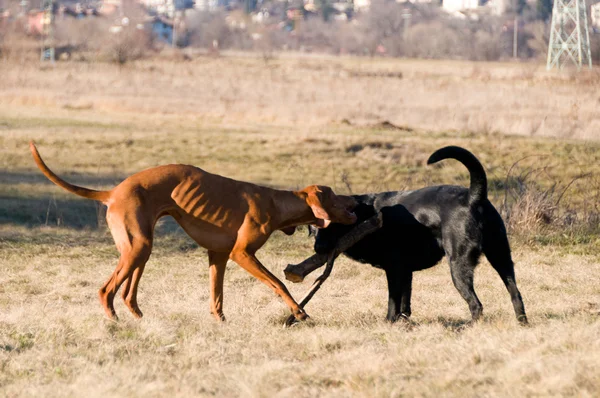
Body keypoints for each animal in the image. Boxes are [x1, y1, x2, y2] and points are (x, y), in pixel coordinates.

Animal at [30, 141, 356, 322]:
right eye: (335, 196)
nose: (355, 203)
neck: (276, 202)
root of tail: (112, 192)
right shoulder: (241, 254)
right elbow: (278, 283)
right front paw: (299, 312)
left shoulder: (218, 256)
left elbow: (217, 295)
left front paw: (220, 321)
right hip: (138, 248)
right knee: (106, 290)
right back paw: (114, 320)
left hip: (139, 250)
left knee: (127, 293)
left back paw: (139, 318)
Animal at [312, 145, 528, 324]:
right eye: (313, 229)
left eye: (332, 226)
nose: (318, 248)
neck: (365, 214)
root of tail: (472, 196)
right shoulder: (406, 271)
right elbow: (405, 301)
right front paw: (404, 321)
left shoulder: (394, 270)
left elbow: (393, 301)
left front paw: (389, 322)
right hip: (501, 257)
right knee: (516, 294)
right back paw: (522, 323)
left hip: (459, 265)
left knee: (476, 304)